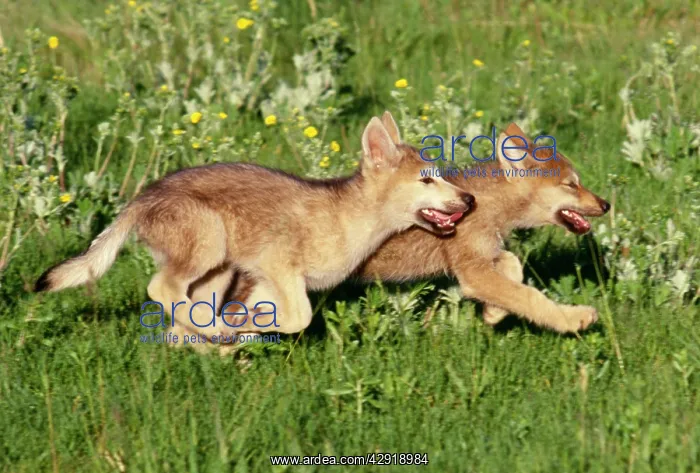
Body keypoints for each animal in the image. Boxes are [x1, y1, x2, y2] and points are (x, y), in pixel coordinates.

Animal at [34, 112, 474, 342]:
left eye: (442, 175)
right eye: (427, 180)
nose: (470, 200)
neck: (351, 220)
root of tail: (139, 198)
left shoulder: (266, 278)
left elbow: (271, 312)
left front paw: (243, 327)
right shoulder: (278, 267)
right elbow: (299, 318)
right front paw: (240, 327)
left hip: (219, 270)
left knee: (186, 304)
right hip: (209, 244)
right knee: (161, 289)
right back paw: (214, 330)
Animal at [224, 122, 610, 335]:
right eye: (572, 185)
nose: (606, 204)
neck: (487, 204)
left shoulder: (481, 259)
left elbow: (513, 269)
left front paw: (493, 313)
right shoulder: (471, 271)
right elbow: (530, 297)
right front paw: (574, 319)